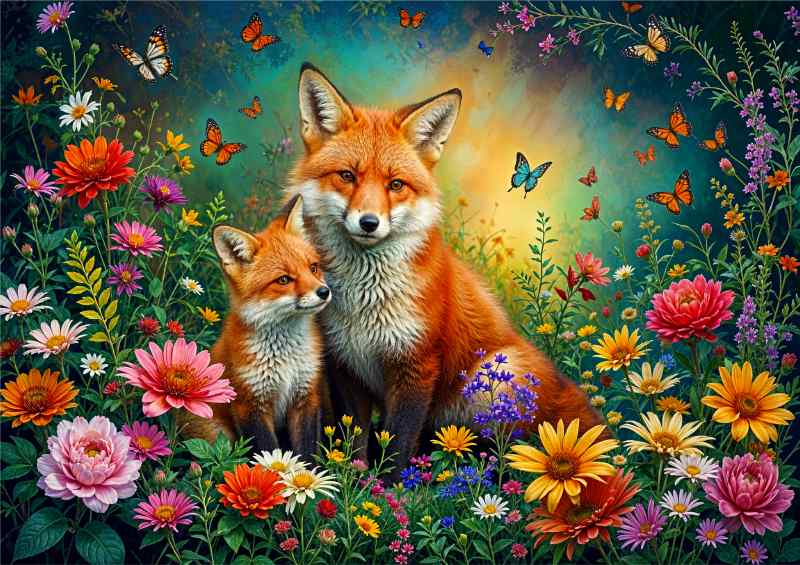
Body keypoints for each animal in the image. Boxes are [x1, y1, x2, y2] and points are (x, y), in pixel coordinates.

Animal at [183, 196, 331, 458]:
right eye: (284, 280)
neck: (285, 360)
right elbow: (268, 453)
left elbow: (306, 454)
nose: (324, 292)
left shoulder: (306, 397)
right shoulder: (249, 405)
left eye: (313, 267)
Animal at [286, 63, 605, 473]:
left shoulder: (417, 365)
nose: (369, 223)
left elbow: (397, 448)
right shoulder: (346, 365)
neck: (364, 302)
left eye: (395, 185)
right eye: (347, 176)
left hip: (494, 379)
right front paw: (354, 480)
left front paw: (390, 487)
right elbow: (355, 440)